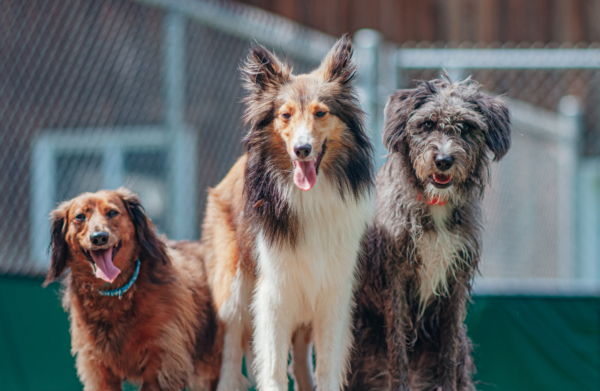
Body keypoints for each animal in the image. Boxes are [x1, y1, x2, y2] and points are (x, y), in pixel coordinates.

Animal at [45, 188, 223, 390]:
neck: (117, 294)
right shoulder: (99, 367)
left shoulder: (161, 360)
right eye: (80, 216)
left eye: (112, 212)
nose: (99, 237)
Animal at [346, 76, 510, 391]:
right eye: (426, 124)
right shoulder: (395, 280)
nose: (444, 160)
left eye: (466, 127)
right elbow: (398, 349)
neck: (436, 204)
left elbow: (448, 352)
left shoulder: (456, 282)